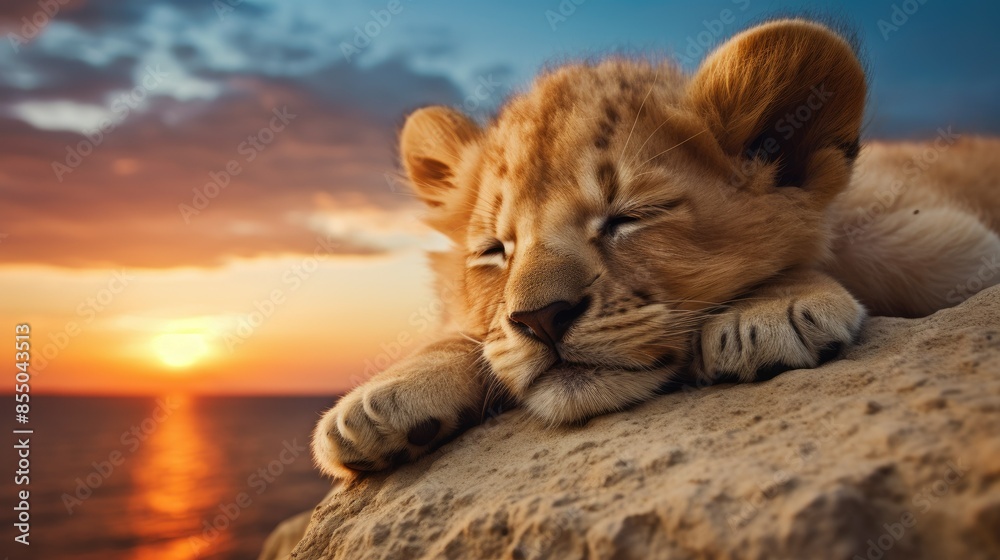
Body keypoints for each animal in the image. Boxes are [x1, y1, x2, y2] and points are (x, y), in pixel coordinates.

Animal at [313, 19, 1000, 478]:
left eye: (628, 218)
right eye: (493, 251)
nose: (541, 318)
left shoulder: (949, 243)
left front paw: (768, 311)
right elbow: (469, 335)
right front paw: (382, 402)